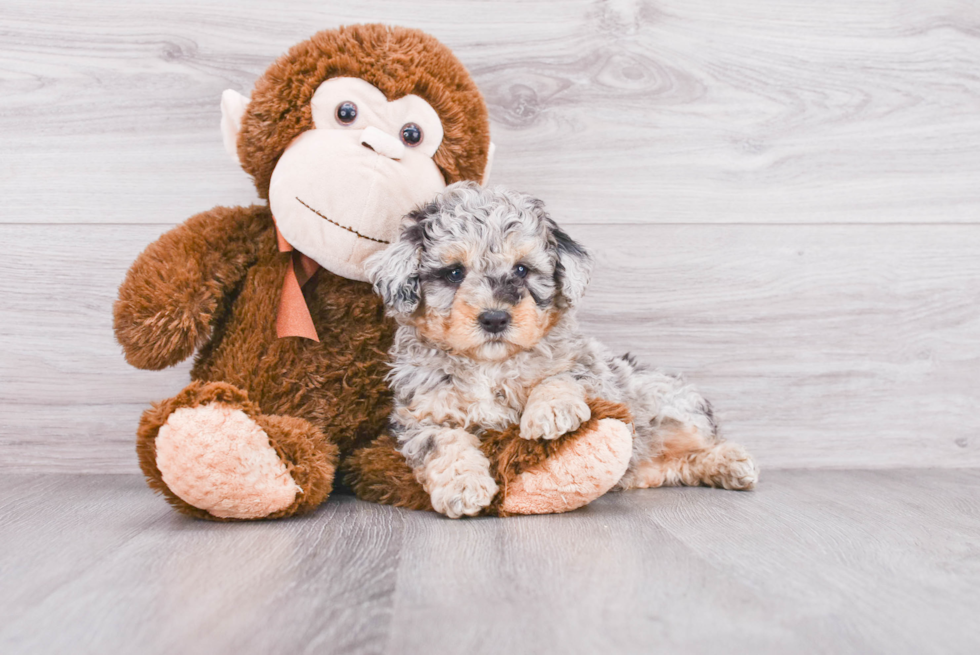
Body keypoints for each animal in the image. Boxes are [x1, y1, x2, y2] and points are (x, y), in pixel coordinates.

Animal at [368, 183, 756, 516]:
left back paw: (734, 464)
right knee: (676, 465)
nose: (494, 318)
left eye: (522, 270)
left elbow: (561, 376)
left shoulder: (590, 368)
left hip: (670, 411)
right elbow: (442, 442)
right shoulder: (420, 412)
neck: (490, 365)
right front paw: (463, 488)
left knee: (700, 444)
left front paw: (550, 413)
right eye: (453, 273)